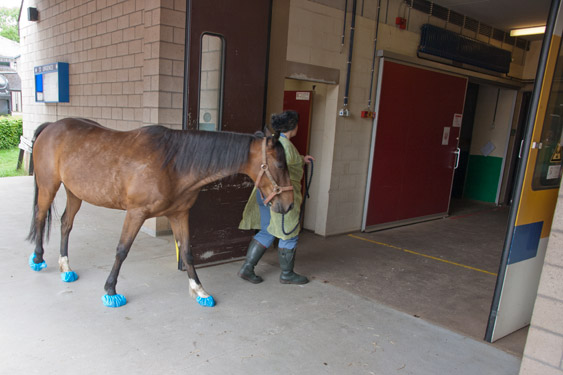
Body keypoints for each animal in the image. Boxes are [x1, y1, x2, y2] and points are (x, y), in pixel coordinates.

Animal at [26, 118, 294, 308]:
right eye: (280, 164)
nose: (289, 205)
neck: (174, 163)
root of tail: (51, 126)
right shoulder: (135, 213)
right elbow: (122, 250)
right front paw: (111, 290)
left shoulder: (180, 214)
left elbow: (187, 253)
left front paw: (200, 291)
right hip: (49, 186)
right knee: (40, 217)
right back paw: (38, 259)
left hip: (75, 192)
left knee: (65, 224)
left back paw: (66, 267)